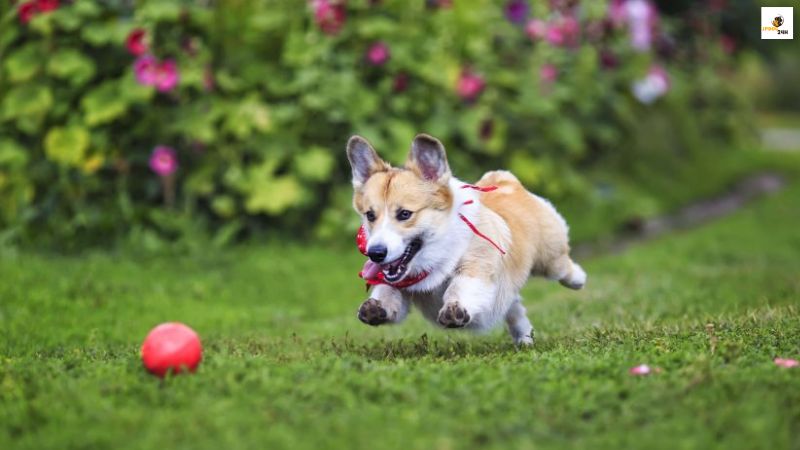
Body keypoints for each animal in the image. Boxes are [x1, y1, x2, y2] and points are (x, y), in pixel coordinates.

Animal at [344, 134, 580, 344]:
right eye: (370, 215)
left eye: (404, 214)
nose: (375, 253)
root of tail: (505, 181)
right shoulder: (397, 286)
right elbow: (388, 294)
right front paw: (374, 307)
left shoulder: (477, 267)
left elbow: (459, 286)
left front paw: (454, 309)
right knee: (514, 307)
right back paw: (524, 338)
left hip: (551, 259)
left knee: (563, 267)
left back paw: (578, 279)